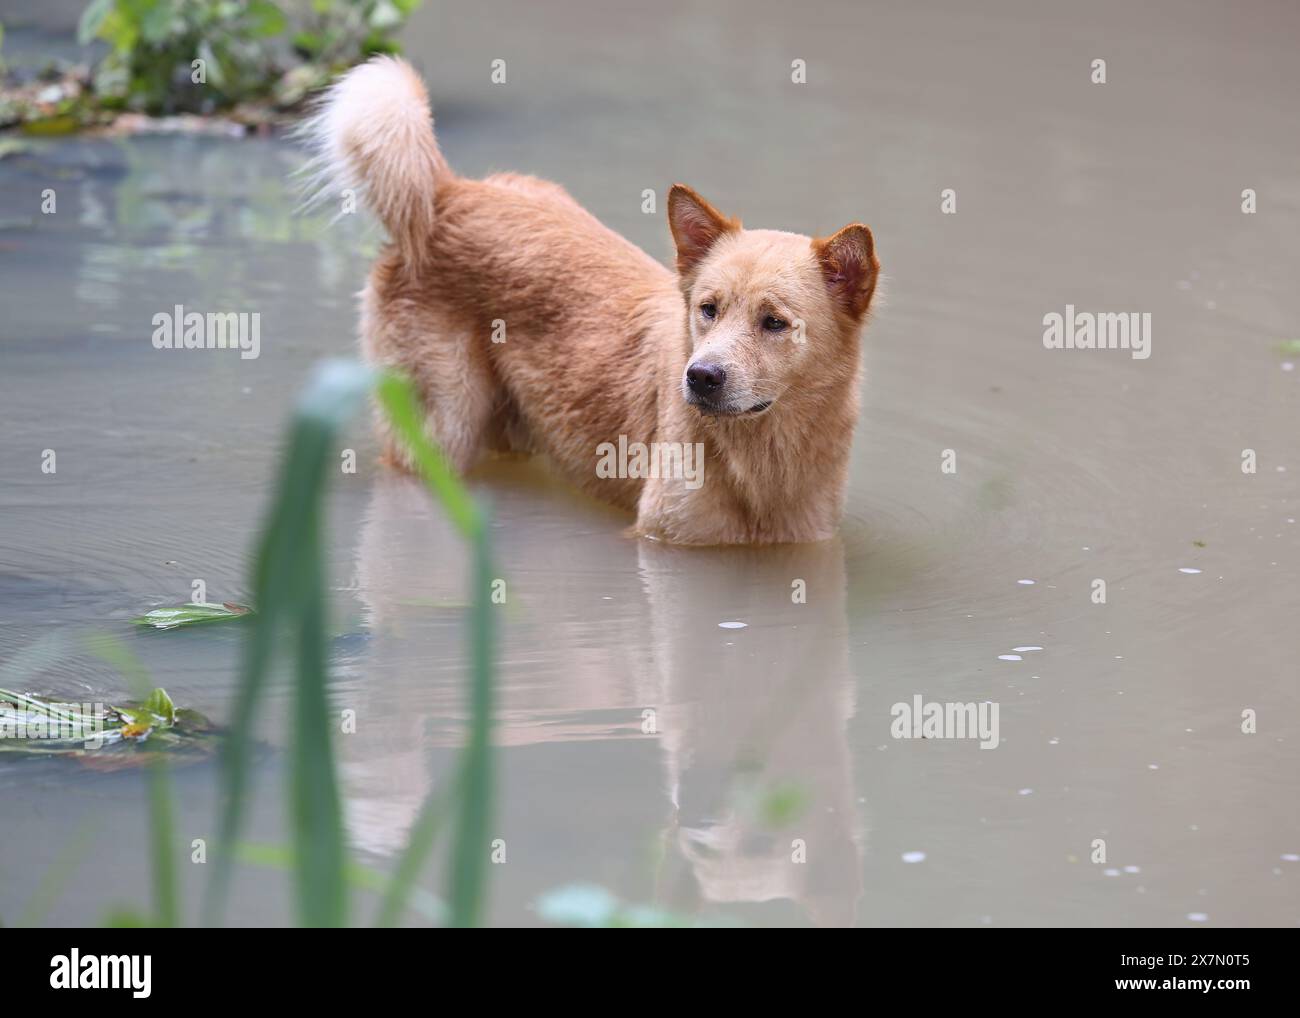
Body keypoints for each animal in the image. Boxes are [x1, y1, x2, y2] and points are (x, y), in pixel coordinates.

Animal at [300, 58, 878, 546]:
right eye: (707, 309)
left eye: (774, 322)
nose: (700, 377)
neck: (761, 465)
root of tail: (447, 193)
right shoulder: (662, 545)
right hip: (442, 427)